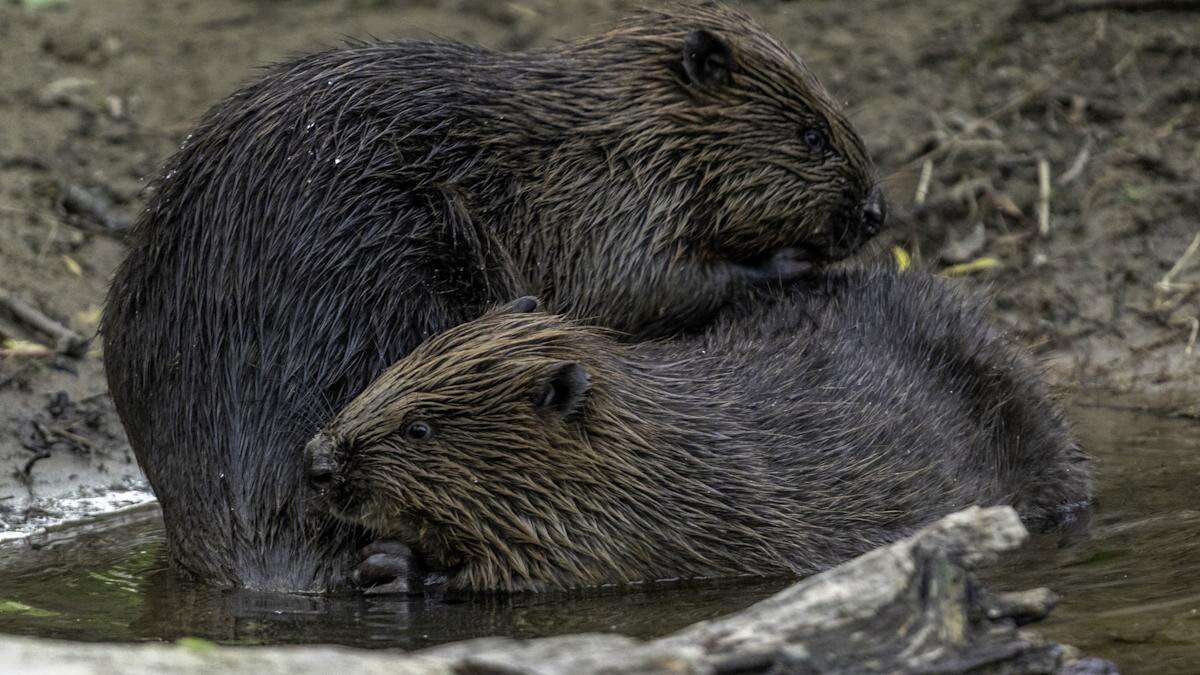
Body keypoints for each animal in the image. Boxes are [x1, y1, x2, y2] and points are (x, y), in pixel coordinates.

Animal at [103, 1, 888, 588]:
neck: (614, 125)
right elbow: (638, 286)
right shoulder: (604, 199)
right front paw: (787, 262)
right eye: (811, 135)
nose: (876, 213)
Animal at [307, 267, 1089, 588]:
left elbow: (532, 573)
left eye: (420, 429)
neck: (652, 440)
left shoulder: (637, 525)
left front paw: (391, 565)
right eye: (388, 373)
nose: (318, 461)